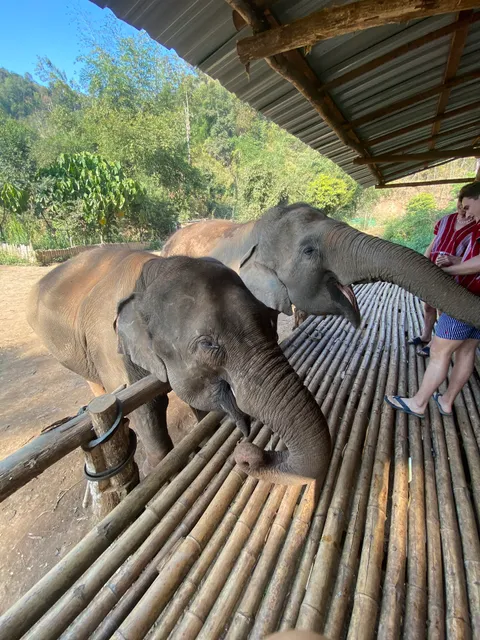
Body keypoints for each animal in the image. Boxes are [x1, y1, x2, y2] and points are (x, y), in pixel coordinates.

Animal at [27, 247, 331, 485]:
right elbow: (146, 407)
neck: (148, 275)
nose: (248, 454)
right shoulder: (110, 349)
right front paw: (158, 470)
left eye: (269, 322)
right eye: (208, 345)